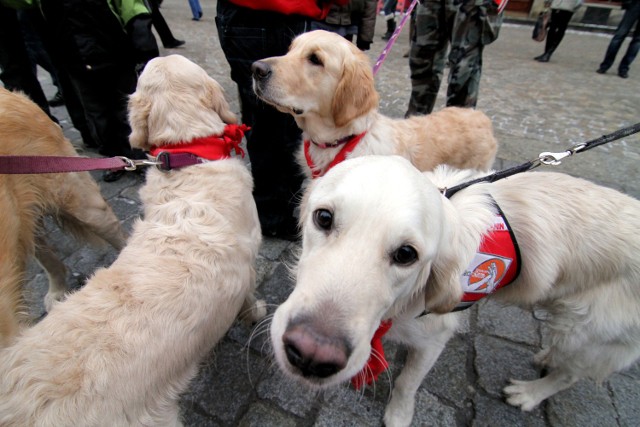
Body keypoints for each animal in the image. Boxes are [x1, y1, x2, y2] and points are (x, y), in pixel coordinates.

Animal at [270, 155, 640, 426]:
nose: (311, 355)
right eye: (323, 218)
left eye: (406, 254)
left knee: (569, 374)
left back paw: (530, 393)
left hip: (586, 333)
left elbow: (407, 382)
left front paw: (399, 416)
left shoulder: (434, 337)